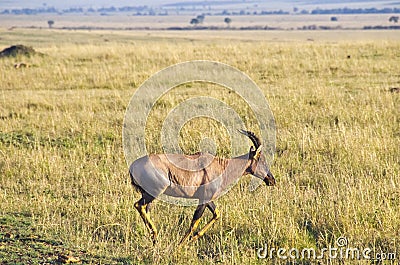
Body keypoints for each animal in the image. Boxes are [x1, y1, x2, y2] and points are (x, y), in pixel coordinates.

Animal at [130, 129, 274, 244]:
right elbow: (194, 223)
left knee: (145, 210)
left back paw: (154, 239)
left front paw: (193, 239)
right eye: (261, 160)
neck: (219, 165)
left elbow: (216, 214)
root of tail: (133, 166)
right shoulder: (204, 199)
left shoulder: (207, 199)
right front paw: (181, 245)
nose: (272, 180)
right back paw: (155, 235)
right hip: (153, 193)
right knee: (138, 205)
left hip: (148, 194)